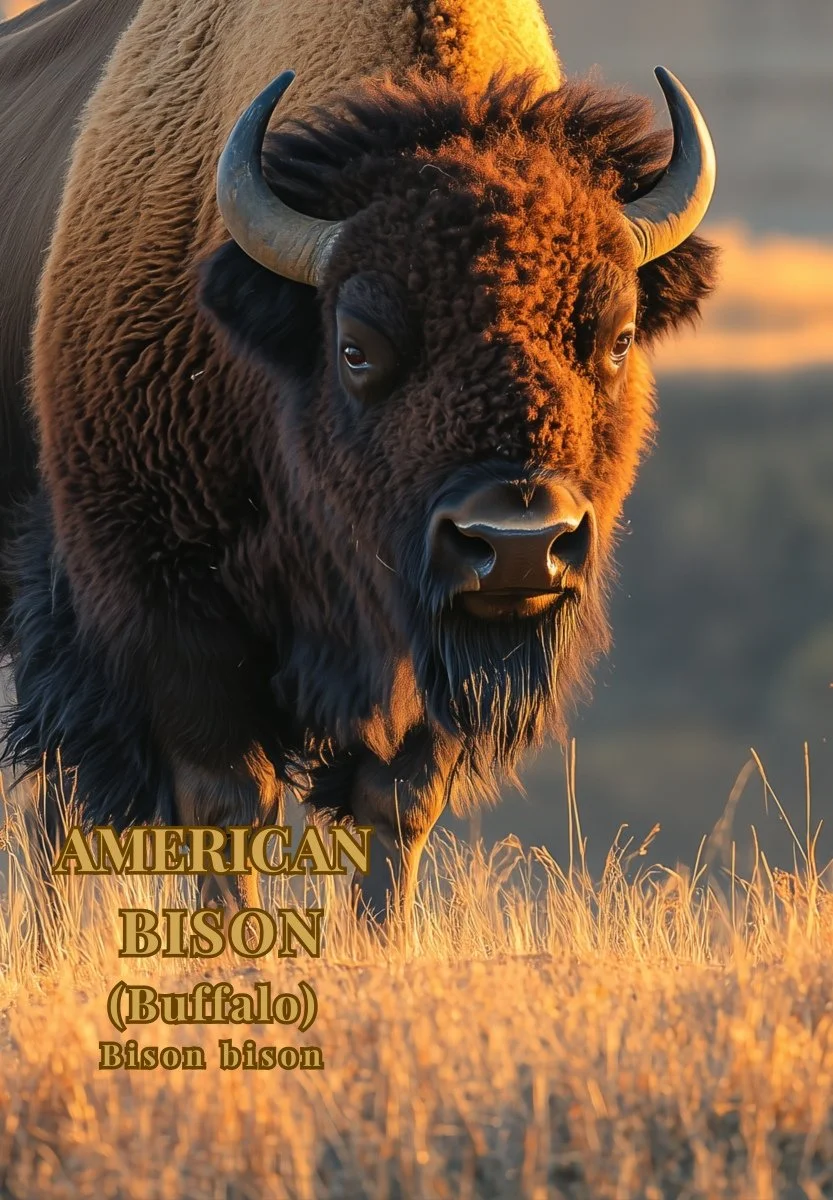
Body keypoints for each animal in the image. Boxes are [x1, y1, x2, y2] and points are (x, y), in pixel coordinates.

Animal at [0, 0, 717, 919]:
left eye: (617, 338)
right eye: (356, 348)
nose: (518, 545)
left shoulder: (426, 656)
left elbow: (395, 806)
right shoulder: (169, 610)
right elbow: (228, 804)